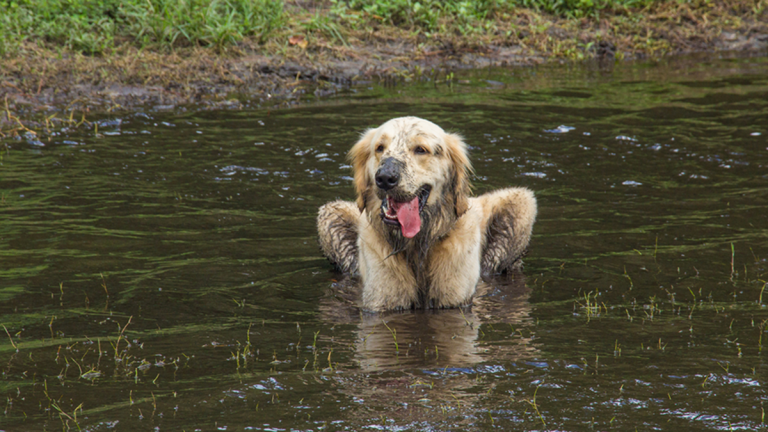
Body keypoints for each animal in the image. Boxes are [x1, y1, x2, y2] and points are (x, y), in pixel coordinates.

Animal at [316, 116, 536, 312]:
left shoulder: (456, 300)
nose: (385, 178)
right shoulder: (380, 301)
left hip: (523, 201)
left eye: (420, 149)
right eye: (379, 147)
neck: (416, 245)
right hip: (328, 213)